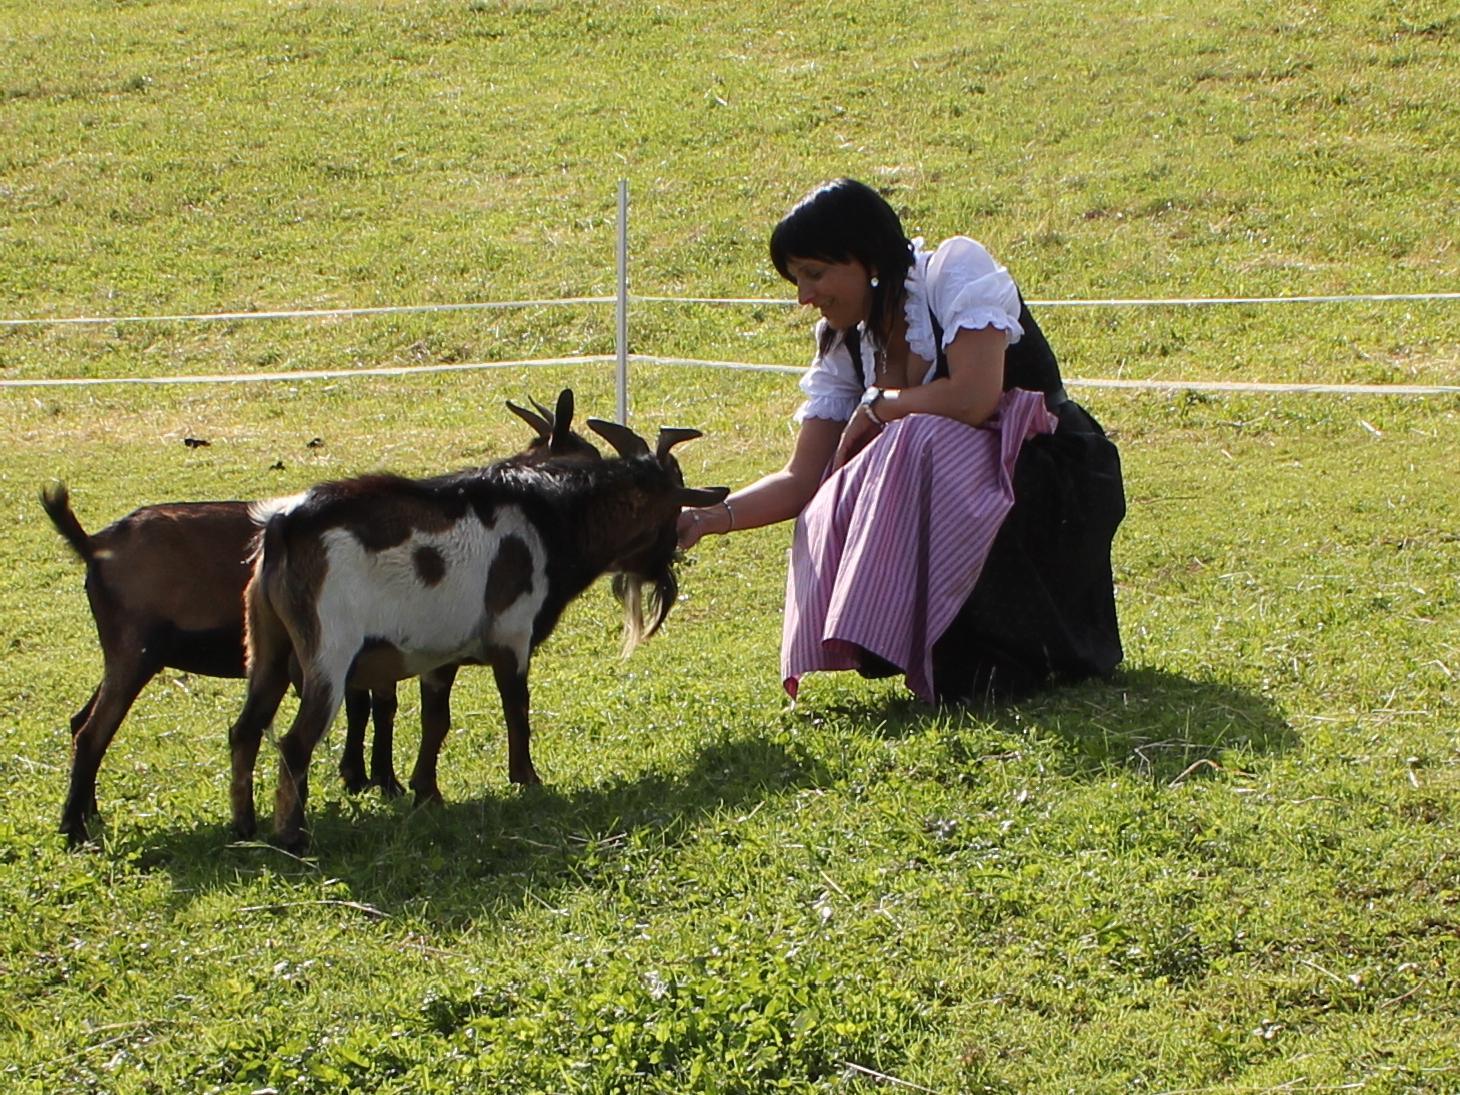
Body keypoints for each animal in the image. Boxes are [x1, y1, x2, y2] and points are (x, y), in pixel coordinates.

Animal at [229, 414, 730, 852]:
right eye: (669, 515)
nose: (668, 565)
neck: (551, 521)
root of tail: (283, 528)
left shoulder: (439, 654)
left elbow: (437, 721)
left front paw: (427, 793)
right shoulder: (511, 635)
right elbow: (517, 709)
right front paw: (527, 779)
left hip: (268, 647)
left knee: (245, 729)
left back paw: (243, 826)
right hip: (328, 652)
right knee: (295, 742)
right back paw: (292, 836)